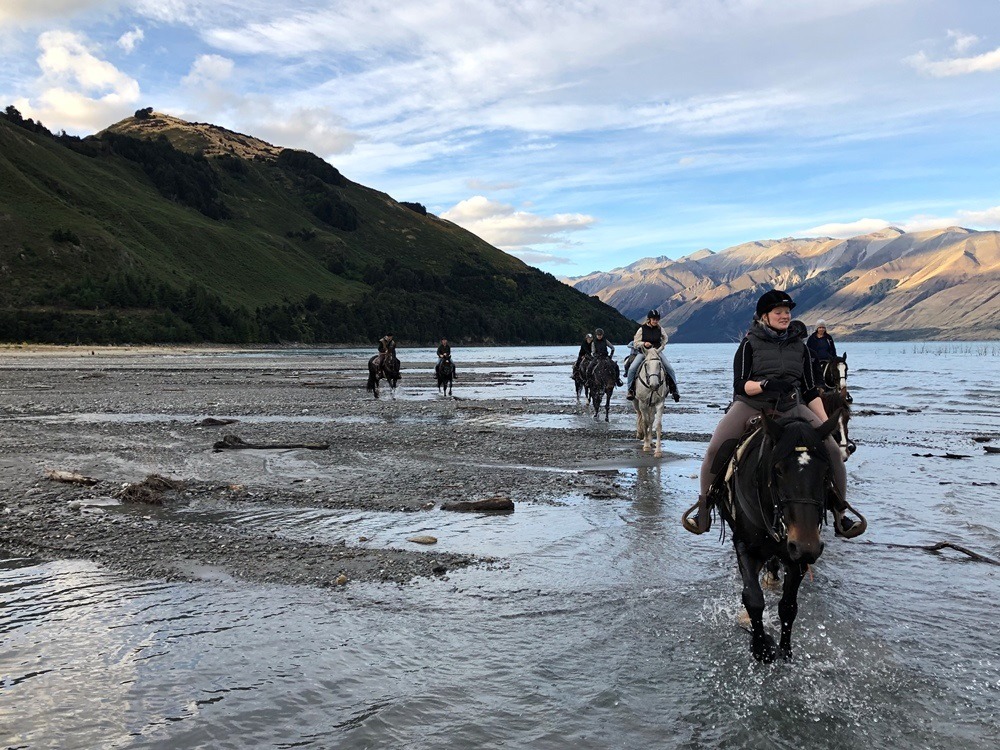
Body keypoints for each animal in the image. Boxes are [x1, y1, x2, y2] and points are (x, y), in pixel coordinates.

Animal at [708, 412, 848, 664]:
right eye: (779, 470)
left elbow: (788, 606)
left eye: (826, 472)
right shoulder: (745, 545)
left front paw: (785, 651)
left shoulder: (797, 555)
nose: (806, 545)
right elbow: (753, 598)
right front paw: (761, 648)